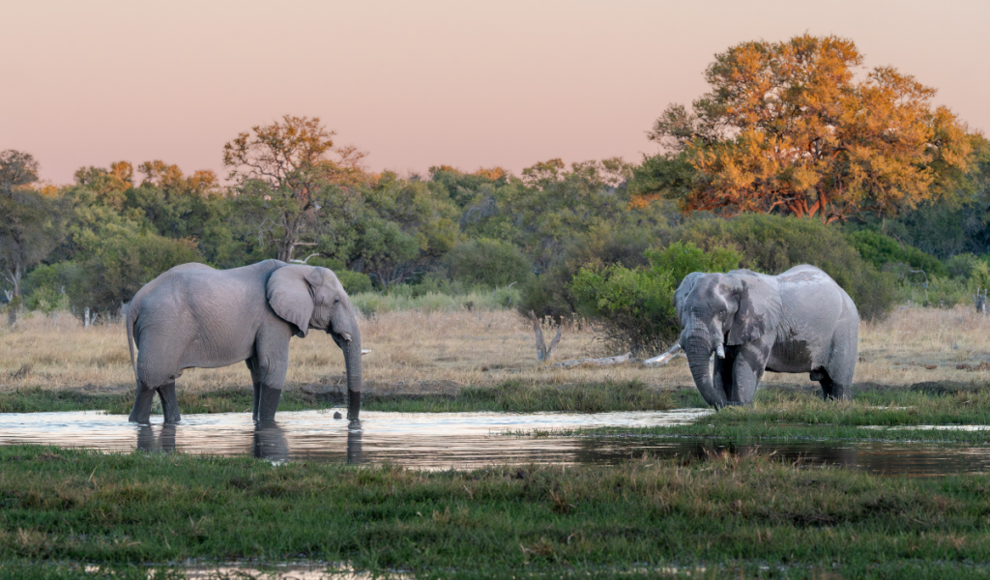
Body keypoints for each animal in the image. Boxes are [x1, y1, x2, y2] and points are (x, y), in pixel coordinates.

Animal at [124, 260, 364, 424]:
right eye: (336, 300)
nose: (346, 418)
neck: (296, 269)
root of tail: (135, 301)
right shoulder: (272, 319)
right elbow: (273, 366)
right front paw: (268, 424)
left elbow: (258, 370)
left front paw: (257, 422)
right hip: (161, 327)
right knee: (150, 380)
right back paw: (137, 422)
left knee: (165, 380)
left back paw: (174, 422)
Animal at [676, 264, 860, 408]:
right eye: (684, 309)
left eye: (722, 313)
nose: (726, 404)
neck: (733, 280)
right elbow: (722, 368)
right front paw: (729, 408)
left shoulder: (763, 324)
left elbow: (744, 365)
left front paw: (741, 407)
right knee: (826, 381)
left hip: (845, 329)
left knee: (837, 381)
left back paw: (841, 406)